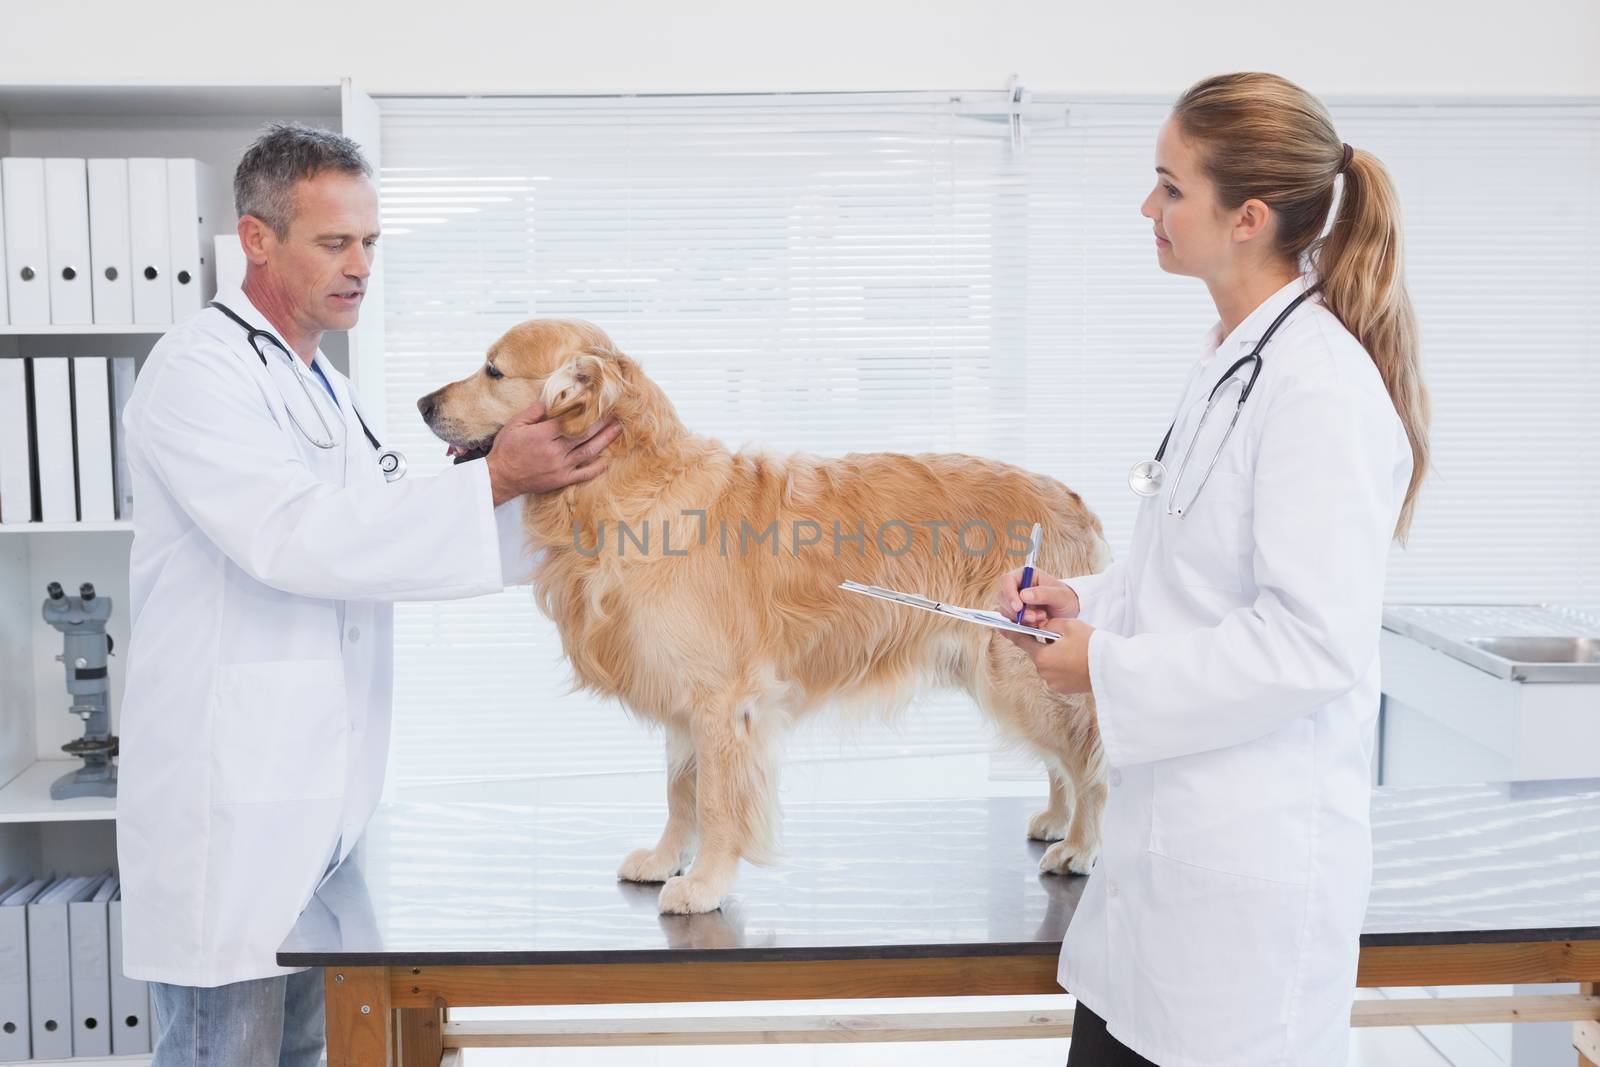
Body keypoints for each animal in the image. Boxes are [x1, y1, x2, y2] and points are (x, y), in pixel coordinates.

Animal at [419, 321, 1107, 915]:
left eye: (493, 370)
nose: (422, 403)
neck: (627, 489)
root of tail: (1074, 500)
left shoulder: (725, 702)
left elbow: (718, 803)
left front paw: (704, 885)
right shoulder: (686, 700)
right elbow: (680, 792)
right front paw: (667, 860)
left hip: (1024, 666)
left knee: (1091, 756)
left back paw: (1081, 843)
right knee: (1065, 756)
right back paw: (1056, 820)